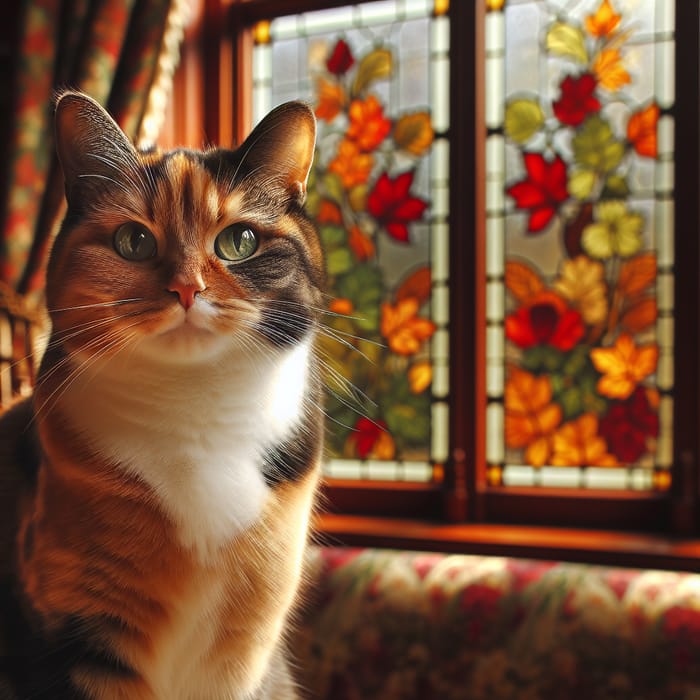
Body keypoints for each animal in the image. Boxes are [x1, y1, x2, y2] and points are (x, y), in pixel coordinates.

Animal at [0, 93, 326, 700]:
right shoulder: (79, 635)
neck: (195, 414)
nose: (187, 288)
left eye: (240, 241)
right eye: (134, 241)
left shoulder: (246, 648)